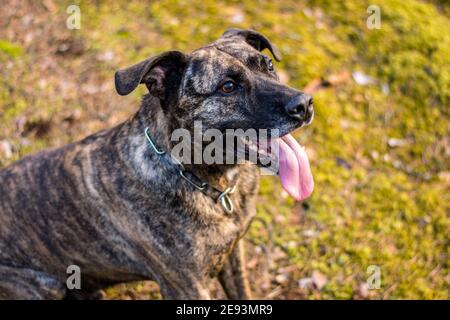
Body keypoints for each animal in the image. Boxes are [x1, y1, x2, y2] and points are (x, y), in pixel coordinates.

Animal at [0, 28, 312, 298]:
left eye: (268, 65)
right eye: (227, 86)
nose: (305, 104)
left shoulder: (234, 254)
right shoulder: (187, 286)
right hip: (44, 284)